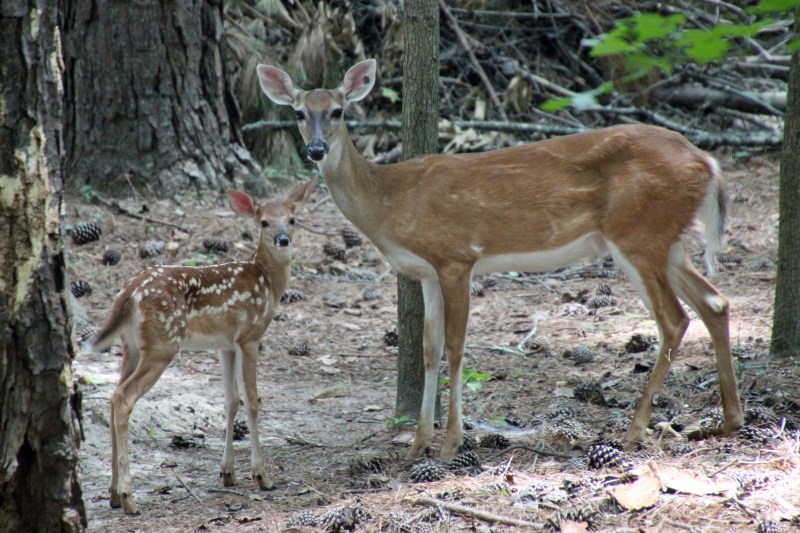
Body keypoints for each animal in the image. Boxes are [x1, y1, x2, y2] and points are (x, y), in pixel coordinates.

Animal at [83, 180, 316, 514]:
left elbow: (231, 401)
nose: (283, 239)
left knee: (112, 398)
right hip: (162, 343)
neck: (268, 284)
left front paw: (228, 473)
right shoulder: (250, 336)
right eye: (263, 222)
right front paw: (262, 476)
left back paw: (113, 494)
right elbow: (253, 401)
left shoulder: (225, 345)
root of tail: (129, 292)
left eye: (293, 219)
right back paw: (129, 497)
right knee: (122, 398)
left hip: (131, 346)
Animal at [255, 59, 745, 460]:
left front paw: (451, 442)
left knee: (674, 319)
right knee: (715, 302)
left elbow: (456, 347)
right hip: (668, 241)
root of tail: (706, 160)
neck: (391, 201)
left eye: (338, 111)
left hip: (637, 234)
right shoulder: (425, 272)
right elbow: (429, 348)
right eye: (299, 112)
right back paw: (728, 420)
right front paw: (417, 444)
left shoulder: (456, 257)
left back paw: (634, 429)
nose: (316, 150)